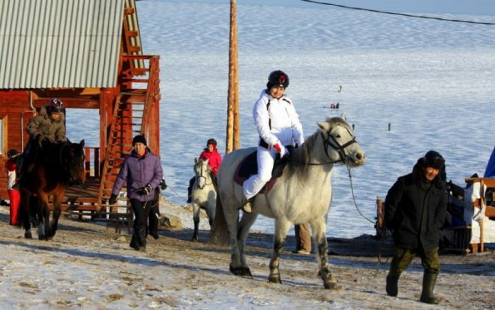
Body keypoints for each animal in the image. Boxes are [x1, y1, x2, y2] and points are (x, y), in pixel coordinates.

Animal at [211, 115, 366, 288]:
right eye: (338, 135)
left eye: (351, 133)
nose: (359, 156)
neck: (309, 182)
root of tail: (228, 158)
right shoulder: (283, 219)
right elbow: (279, 245)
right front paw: (274, 275)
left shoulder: (319, 219)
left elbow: (323, 247)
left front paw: (328, 279)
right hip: (230, 207)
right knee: (232, 233)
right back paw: (235, 266)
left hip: (252, 213)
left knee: (241, 236)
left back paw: (243, 268)